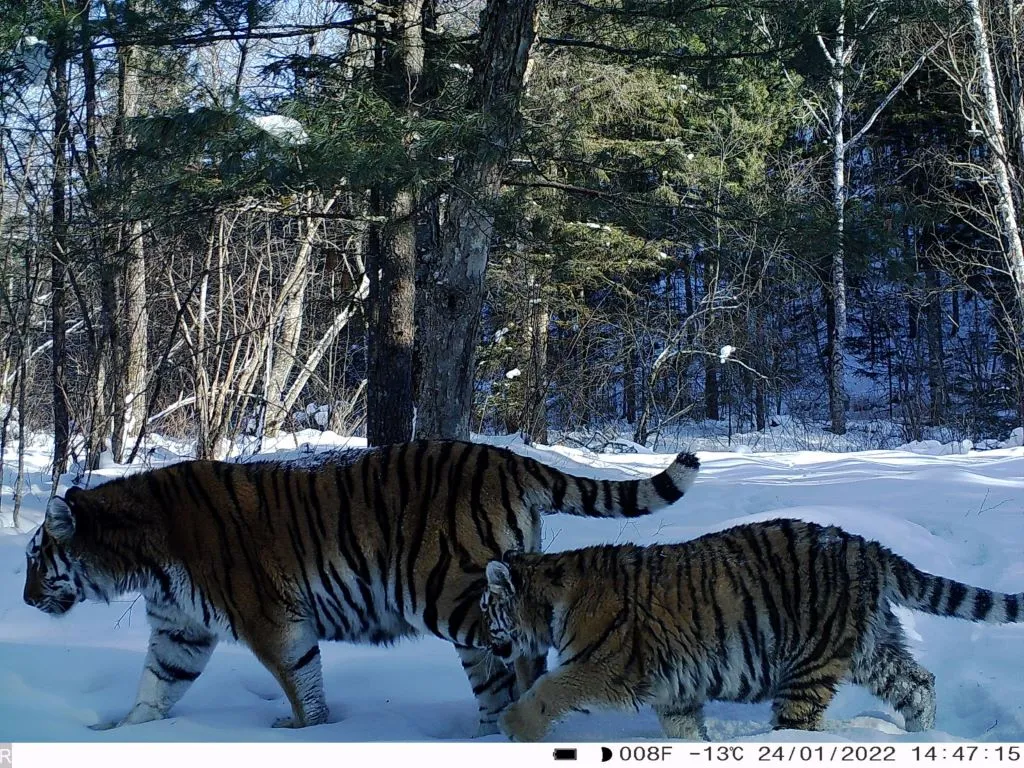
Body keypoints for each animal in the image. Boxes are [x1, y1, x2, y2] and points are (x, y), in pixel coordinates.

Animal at [24, 438, 700, 733]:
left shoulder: (271, 620)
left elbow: (300, 681)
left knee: (519, 661)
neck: (142, 556)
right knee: (507, 672)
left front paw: (307, 730)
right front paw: (128, 731)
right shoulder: (179, 629)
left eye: (35, 557)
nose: (27, 600)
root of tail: (507, 458)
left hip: (452, 594)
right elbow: (157, 684)